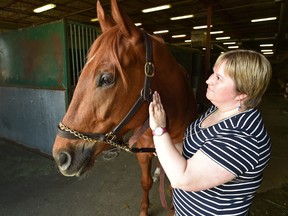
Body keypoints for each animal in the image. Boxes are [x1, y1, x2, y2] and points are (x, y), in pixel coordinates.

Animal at [52, 0, 198, 215]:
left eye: (106, 78)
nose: (61, 157)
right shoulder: (143, 154)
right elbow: (145, 182)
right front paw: (144, 210)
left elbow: (173, 189)